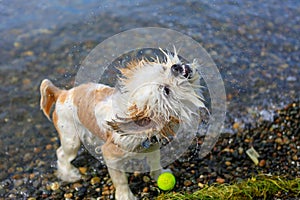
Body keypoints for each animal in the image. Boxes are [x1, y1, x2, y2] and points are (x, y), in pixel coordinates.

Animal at [39, 48, 206, 200]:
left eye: (164, 69)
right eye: (166, 91)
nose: (175, 67)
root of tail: (62, 93)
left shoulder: (152, 146)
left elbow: (155, 163)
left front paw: (159, 174)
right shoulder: (110, 155)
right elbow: (121, 181)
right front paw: (125, 196)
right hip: (71, 139)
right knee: (61, 153)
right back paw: (69, 174)